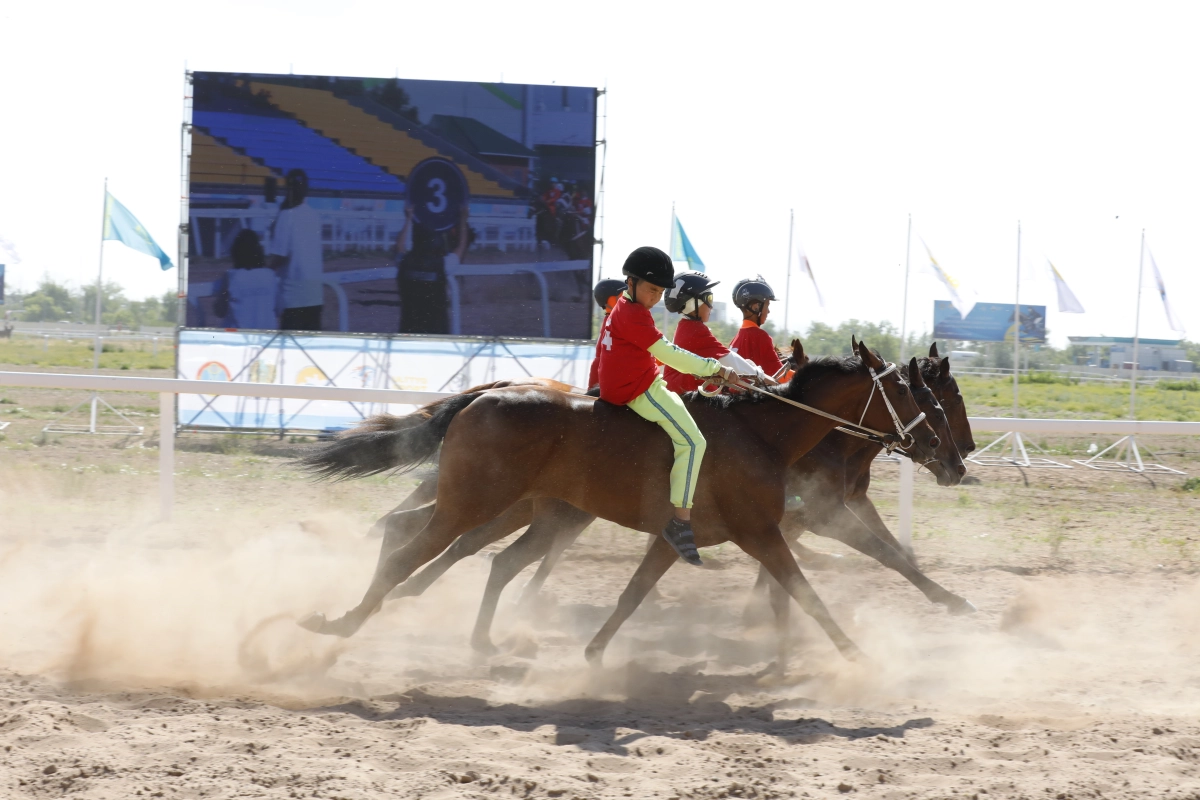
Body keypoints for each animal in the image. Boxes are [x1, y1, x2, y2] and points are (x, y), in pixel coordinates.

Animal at [297, 340, 936, 662]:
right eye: (911, 389)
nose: (931, 442)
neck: (760, 433)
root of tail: (484, 396)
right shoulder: (760, 532)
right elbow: (807, 592)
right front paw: (856, 656)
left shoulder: (680, 538)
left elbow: (632, 594)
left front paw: (594, 653)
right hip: (474, 504)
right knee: (409, 549)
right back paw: (344, 622)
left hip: (503, 508)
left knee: (430, 541)